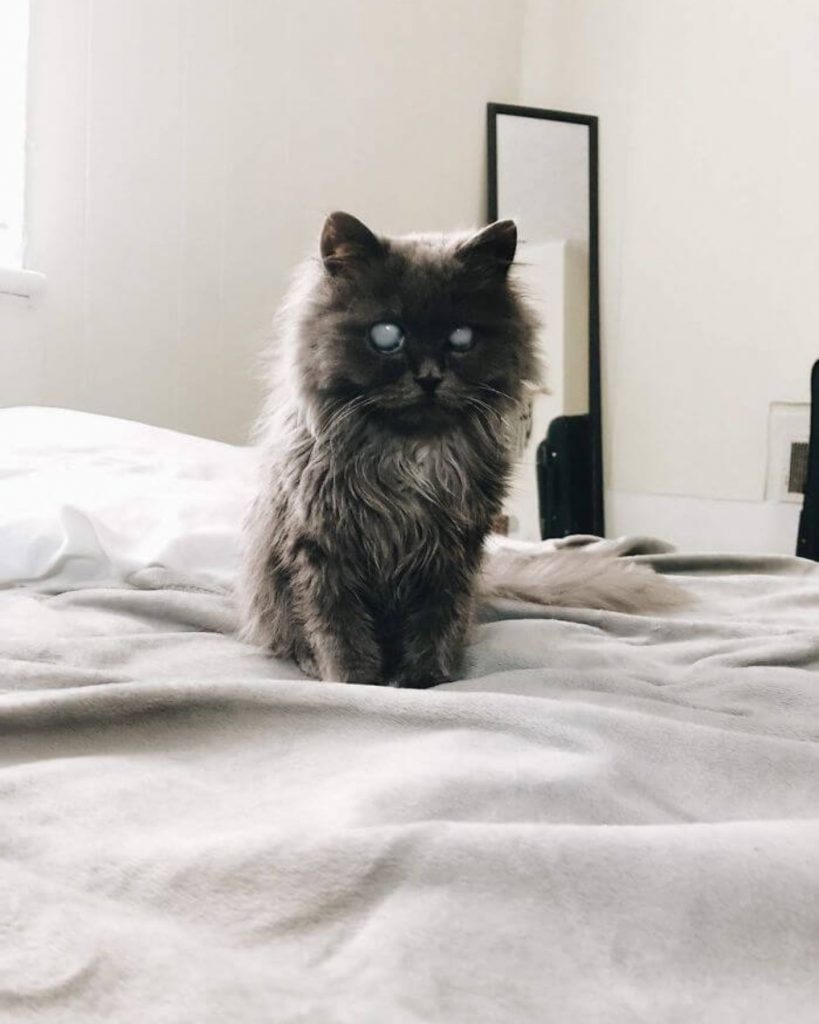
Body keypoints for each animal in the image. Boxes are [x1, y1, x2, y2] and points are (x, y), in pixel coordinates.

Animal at [238, 210, 683, 684]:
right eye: (386, 335)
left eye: (461, 338)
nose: (430, 377)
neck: (411, 457)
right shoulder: (321, 549)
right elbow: (340, 633)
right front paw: (357, 683)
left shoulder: (450, 556)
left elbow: (435, 625)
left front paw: (423, 681)